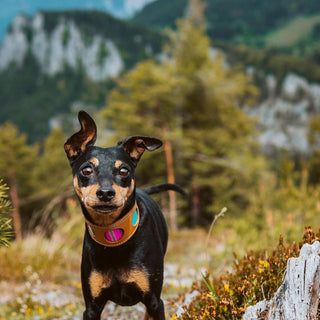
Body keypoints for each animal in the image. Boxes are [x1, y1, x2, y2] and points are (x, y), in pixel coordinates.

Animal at [64, 110, 185, 320]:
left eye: (123, 170)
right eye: (86, 170)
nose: (105, 193)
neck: (114, 237)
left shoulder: (155, 301)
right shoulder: (91, 306)